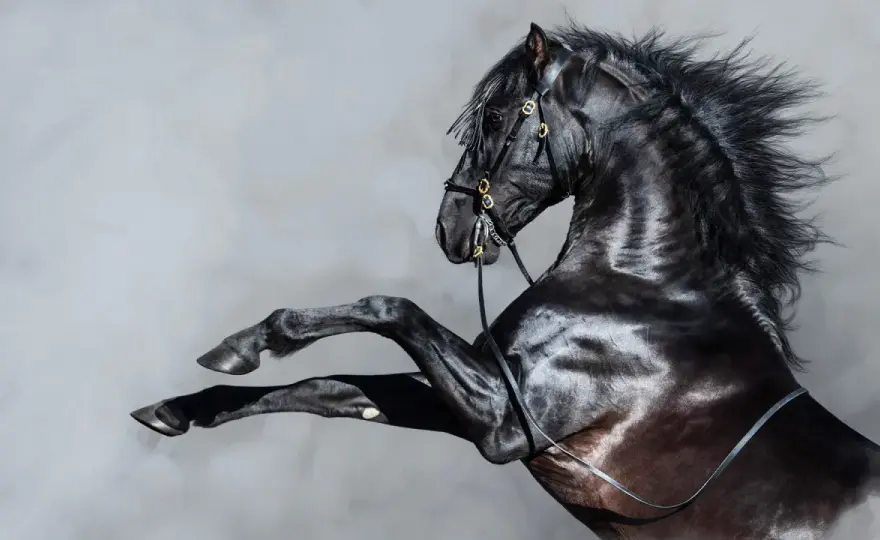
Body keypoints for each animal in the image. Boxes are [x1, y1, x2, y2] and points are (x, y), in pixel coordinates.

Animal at [130, 21, 880, 539]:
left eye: (495, 117)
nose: (451, 226)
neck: (647, 290)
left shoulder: (504, 423)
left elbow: (387, 308)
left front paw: (250, 342)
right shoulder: (479, 397)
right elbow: (332, 391)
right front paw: (180, 407)